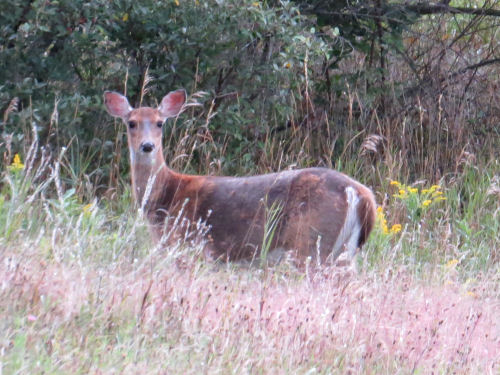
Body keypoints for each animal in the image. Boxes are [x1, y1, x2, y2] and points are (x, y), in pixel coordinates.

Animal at [104, 90, 376, 268]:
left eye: (160, 123)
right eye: (131, 123)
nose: (147, 146)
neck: (167, 195)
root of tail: (361, 194)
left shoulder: (186, 246)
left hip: (311, 241)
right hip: (342, 251)